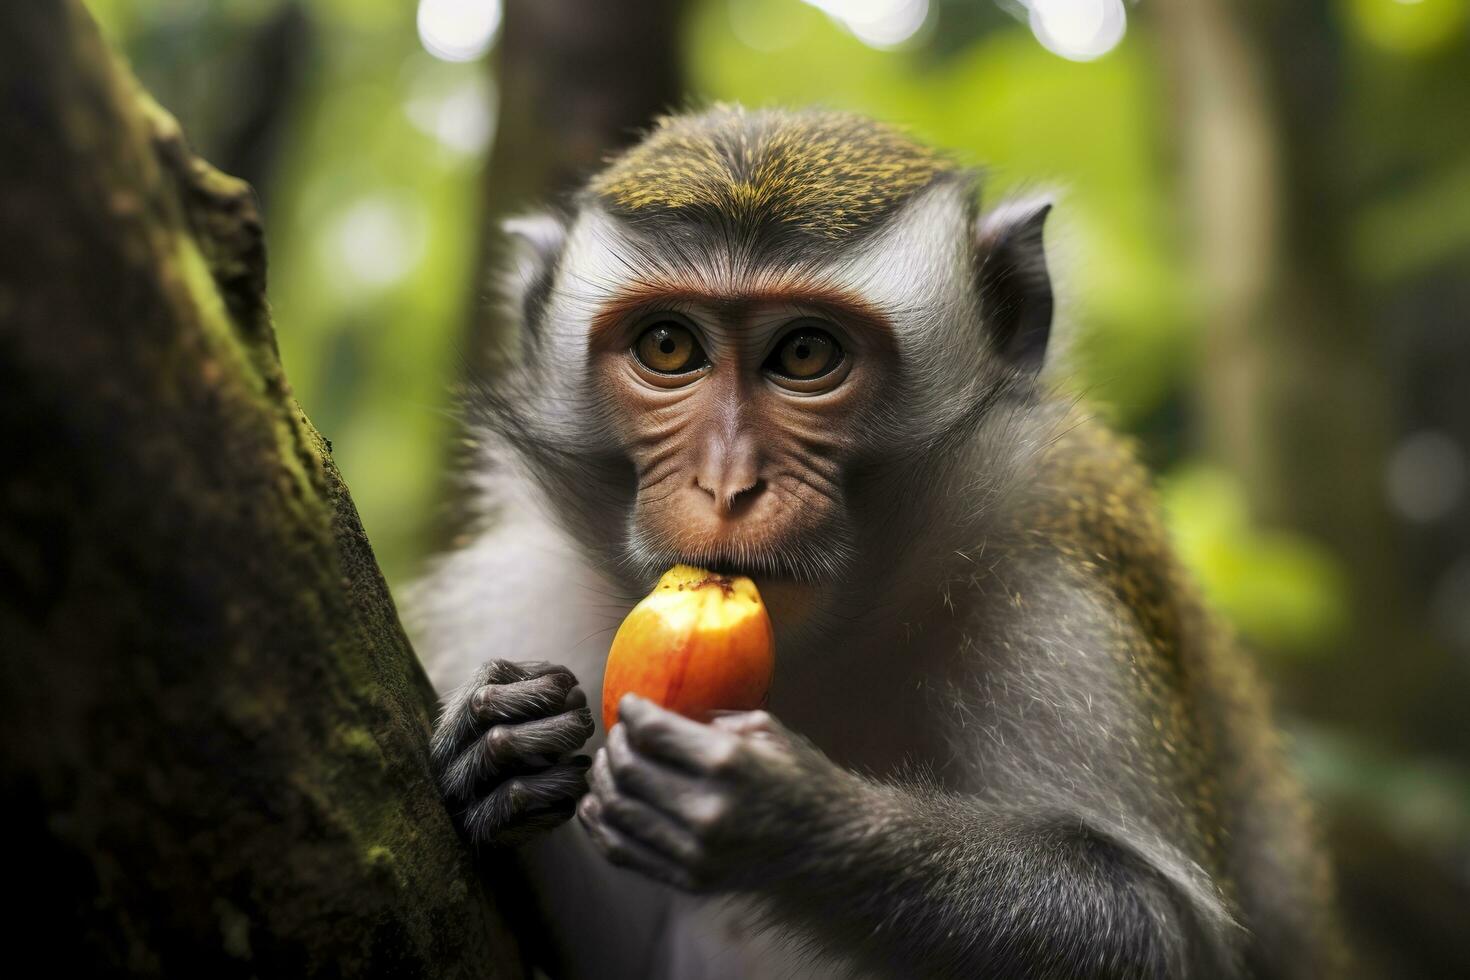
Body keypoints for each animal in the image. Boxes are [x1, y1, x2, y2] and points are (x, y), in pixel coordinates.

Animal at [405, 107, 1346, 980]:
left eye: (806, 353)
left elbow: (1158, 929)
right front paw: (498, 749)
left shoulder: (1062, 604)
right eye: (668, 346)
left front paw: (790, 821)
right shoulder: (520, 590)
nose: (726, 484)